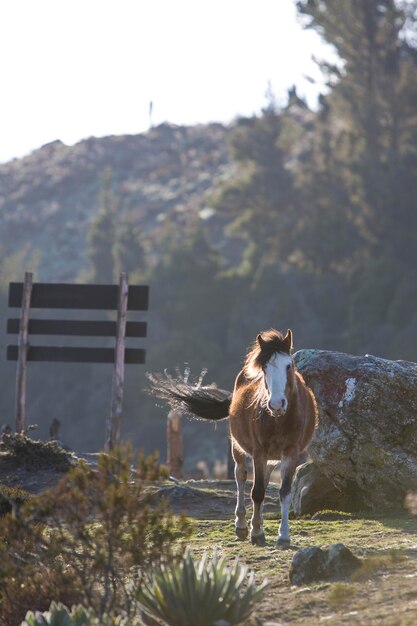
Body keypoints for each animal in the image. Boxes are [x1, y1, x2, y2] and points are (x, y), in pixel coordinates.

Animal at [148, 330, 316, 544]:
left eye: (289, 365)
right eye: (264, 368)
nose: (276, 404)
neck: (279, 419)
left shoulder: (291, 453)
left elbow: (284, 492)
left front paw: (283, 535)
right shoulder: (259, 452)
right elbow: (257, 492)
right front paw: (256, 533)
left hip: (272, 456)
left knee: (264, 479)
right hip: (238, 447)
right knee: (240, 476)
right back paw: (243, 525)